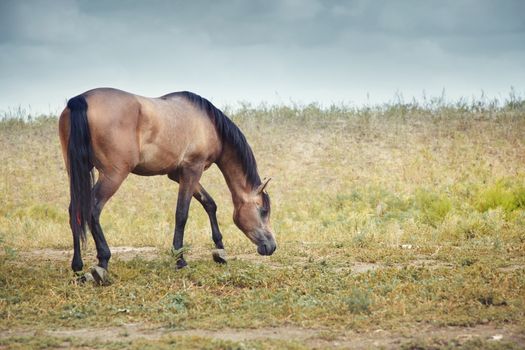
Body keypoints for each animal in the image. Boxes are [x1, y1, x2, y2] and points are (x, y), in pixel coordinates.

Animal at [59, 87, 276, 278]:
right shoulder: (192, 169)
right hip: (113, 175)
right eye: (263, 210)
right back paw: (102, 263)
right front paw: (180, 260)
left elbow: (209, 204)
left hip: (77, 172)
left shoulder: (179, 173)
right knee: (92, 209)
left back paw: (77, 267)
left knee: (74, 211)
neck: (208, 122)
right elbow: (182, 214)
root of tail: (80, 100)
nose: (272, 246)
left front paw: (220, 251)